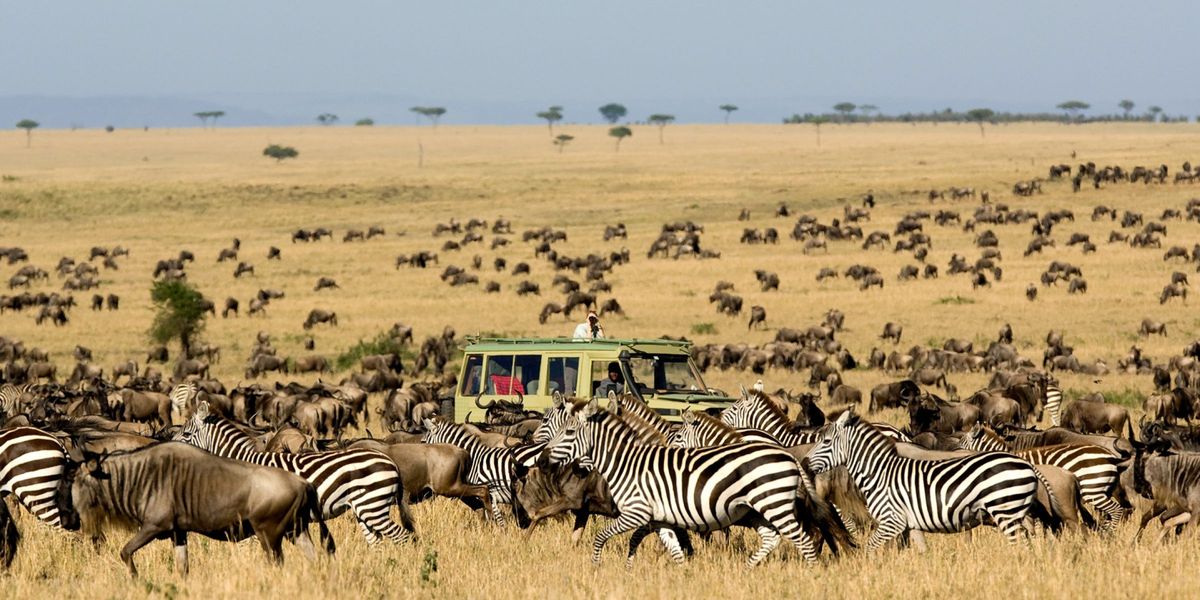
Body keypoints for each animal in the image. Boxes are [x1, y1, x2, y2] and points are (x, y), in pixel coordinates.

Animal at [172, 403, 417, 544]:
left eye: (186, 434)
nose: (168, 448)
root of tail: (390, 461)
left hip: (373, 505)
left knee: (403, 537)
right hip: (364, 508)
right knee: (377, 542)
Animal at [544, 398, 835, 566]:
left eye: (568, 432)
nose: (544, 459)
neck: (626, 463)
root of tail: (787, 453)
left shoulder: (636, 513)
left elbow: (601, 537)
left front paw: (596, 567)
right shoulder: (659, 519)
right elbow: (673, 550)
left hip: (773, 503)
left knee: (804, 540)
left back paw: (811, 573)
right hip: (756, 509)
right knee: (771, 538)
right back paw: (749, 569)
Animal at [811, 410, 1046, 549]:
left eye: (825, 441)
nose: (804, 461)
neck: (880, 472)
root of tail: (1028, 465)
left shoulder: (892, 521)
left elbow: (870, 548)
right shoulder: (910, 523)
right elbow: (919, 551)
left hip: (1006, 511)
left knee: (1021, 543)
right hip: (1015, 512)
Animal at [955, 422, 1123, 530]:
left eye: (961, 443)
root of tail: (1111, 457)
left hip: (1092, 489)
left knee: (1116, 510)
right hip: (1104, 490)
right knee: (1108, 515)